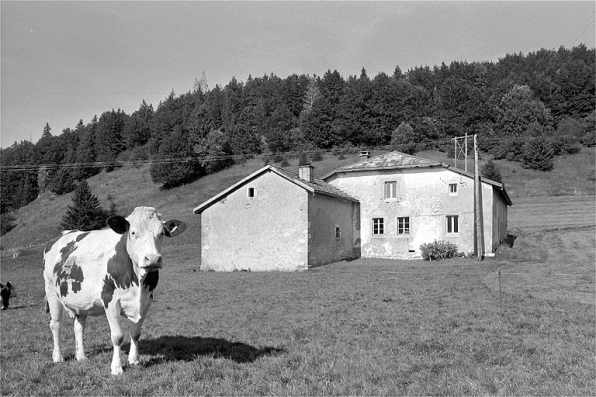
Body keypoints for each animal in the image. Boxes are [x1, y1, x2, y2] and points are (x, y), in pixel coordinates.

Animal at [43, 207, 186, 374]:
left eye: (161, 233)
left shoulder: (146, 300)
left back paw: (81, 356)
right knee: (55, 324)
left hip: (80, 301)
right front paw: (117, 368)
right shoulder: (109, 300)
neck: (137, 282)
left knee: (79, 327)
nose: (152, 259)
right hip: (51, 290)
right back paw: (58, 357)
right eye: (133, 232)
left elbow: (135, 333)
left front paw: (134, 360)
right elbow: (117, 336)